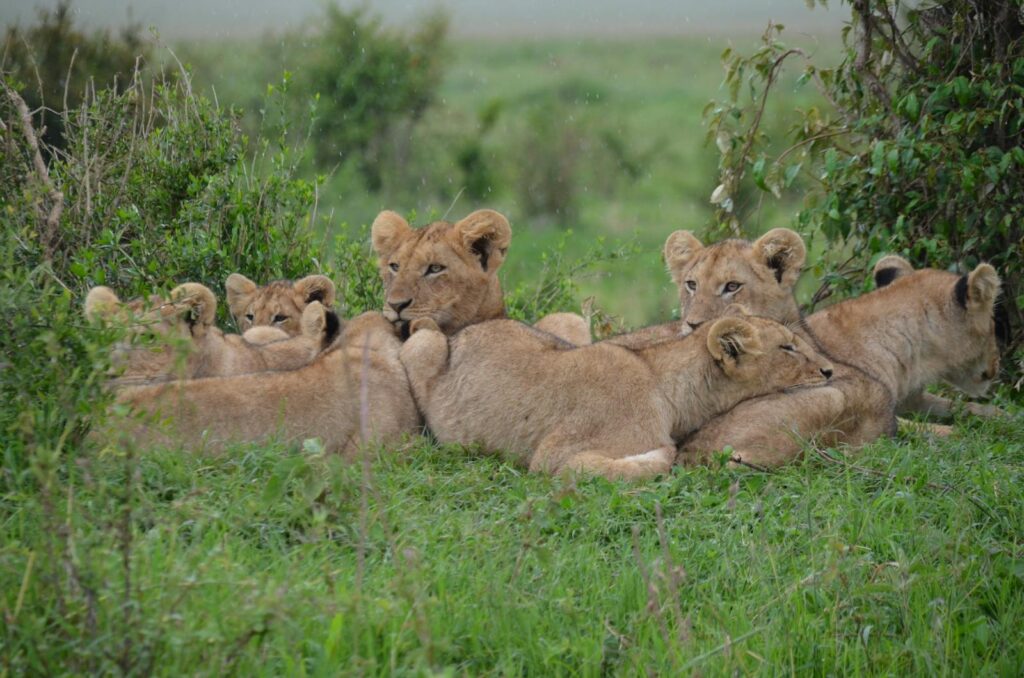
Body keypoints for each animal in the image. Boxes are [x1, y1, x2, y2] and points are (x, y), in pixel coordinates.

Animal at [399, 307, 834, 481]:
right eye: (788, 347)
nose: (830, 370)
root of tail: (461, 333)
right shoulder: (551, 458)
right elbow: (650, 462)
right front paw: (661, 455)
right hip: (421, 346)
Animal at [665, 229, 1002, 468]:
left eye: (732, 287)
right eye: (691, 285)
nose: (693, 325)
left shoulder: (911, 398)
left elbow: (964, 408)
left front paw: (998, 416)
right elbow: (926, 427)